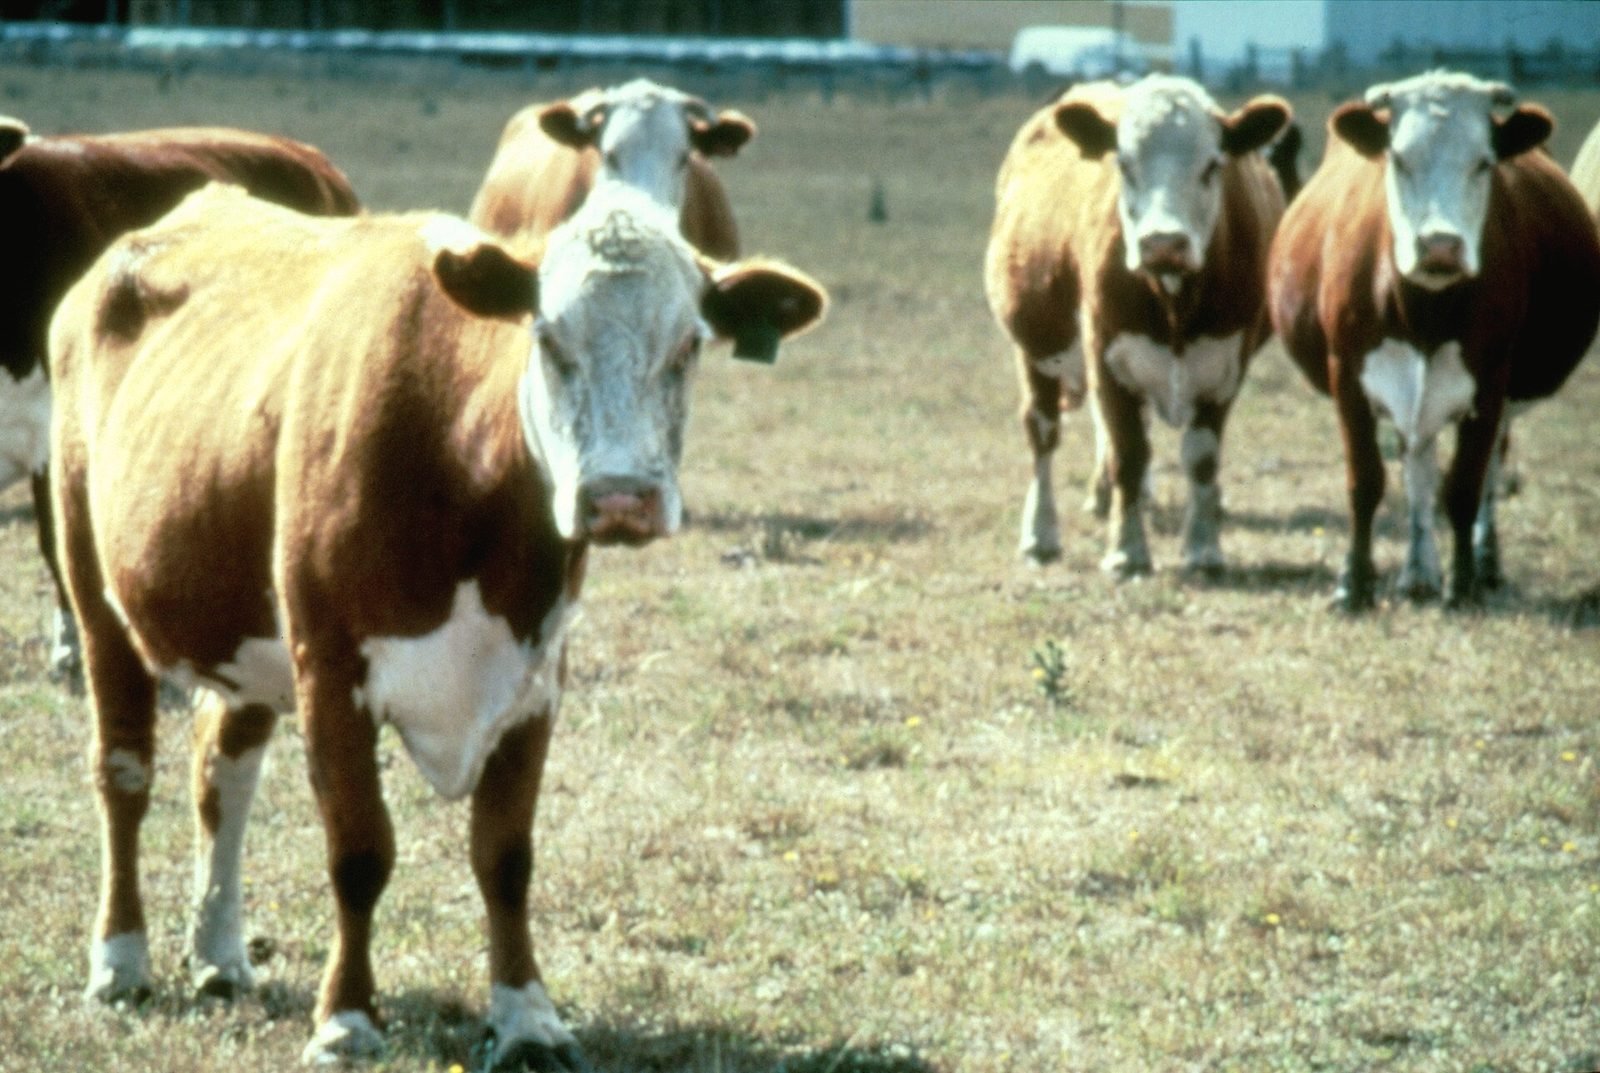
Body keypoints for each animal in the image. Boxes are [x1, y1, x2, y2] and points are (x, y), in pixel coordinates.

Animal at [48, 182, 825, 1068]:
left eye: (690, 344)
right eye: (547, 337)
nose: (621, 495)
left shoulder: (535, 679)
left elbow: (505, 856)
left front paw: (526, 1014)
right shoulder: (330, 669)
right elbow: (359, 851)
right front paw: (347, 1017)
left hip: (239, 628)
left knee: (222, 769)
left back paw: (218, 954)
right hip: (97, 598)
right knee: (123, 776)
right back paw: (121, 961)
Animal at [984, 75, 1290, 576]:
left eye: (1212, 165)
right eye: (1124, 165)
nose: (1163, 242)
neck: (1173, 300)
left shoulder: (1227, 363)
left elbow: (1201, 458)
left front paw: (1204, 548)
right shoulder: (1107, 355)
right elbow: (1128, 452)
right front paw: (1127, 552)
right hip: (1036, 349)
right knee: (1043, 432)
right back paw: (1040, 535)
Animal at [1268, 70, 1600, 611]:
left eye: (1483, 162)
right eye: (1399, 158)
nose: (1440, 245)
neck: (1422, 308)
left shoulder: (1490, 382)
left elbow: (1464, 486)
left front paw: (1461, 585)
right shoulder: (1348, 375)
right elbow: (1366, 481)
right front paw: (1353, 584)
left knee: (1484, 474)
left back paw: (1480, 565)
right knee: (1416, 463)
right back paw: (1418, 572)